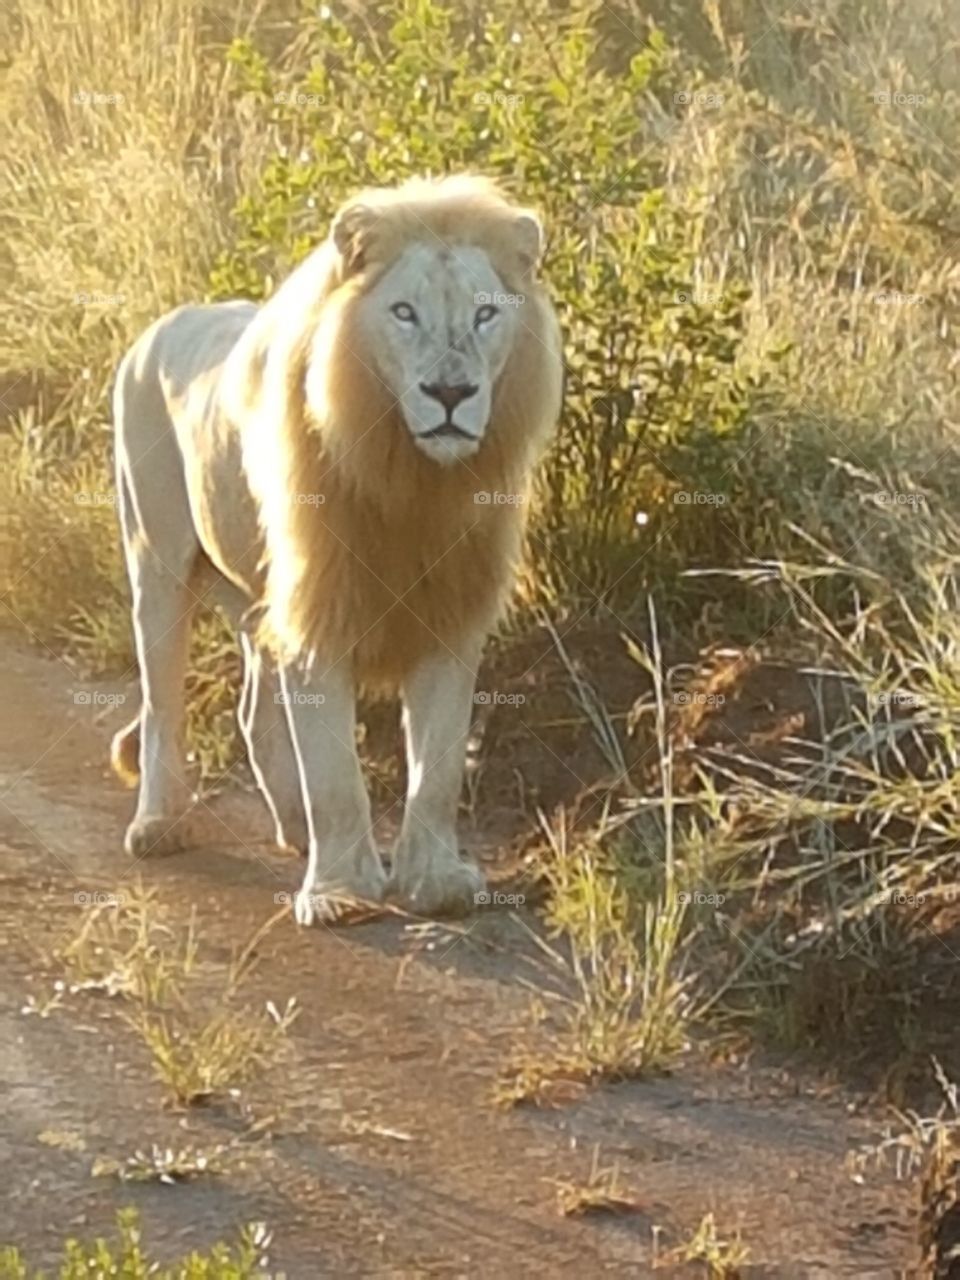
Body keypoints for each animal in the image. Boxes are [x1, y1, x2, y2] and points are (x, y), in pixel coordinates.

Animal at [111, 174, 563, 923]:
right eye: (404, 312)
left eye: (485, 314)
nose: (450, 392)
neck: (412, 481)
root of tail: (157, 328)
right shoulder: (320, 600)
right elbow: (332, 772)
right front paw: (341, 893)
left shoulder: (449, 611)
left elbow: (438, 766)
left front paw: (436, 881)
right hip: (157, 559)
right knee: (160, 701)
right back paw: (158, 826)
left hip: (257, 594)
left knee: (252, 713)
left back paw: (292, 830)